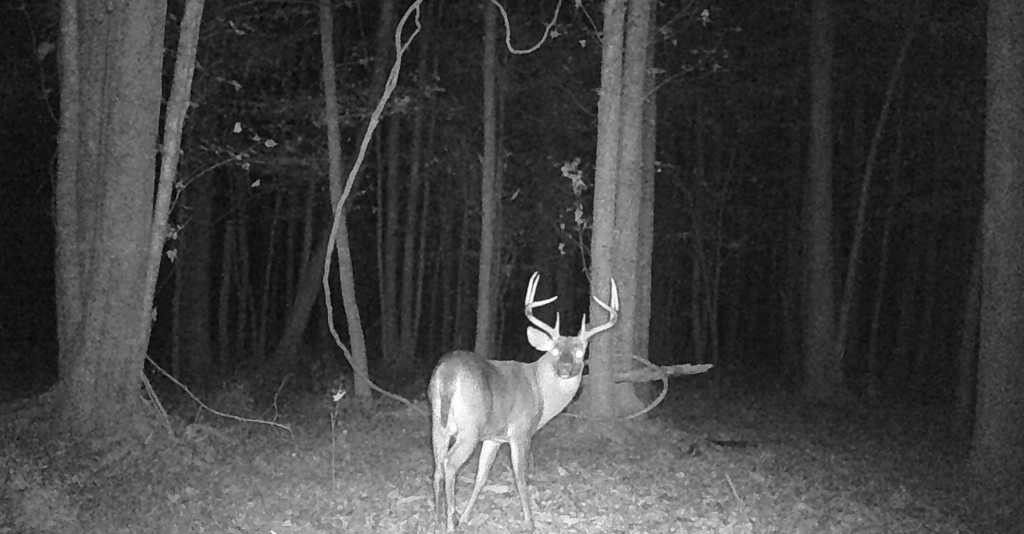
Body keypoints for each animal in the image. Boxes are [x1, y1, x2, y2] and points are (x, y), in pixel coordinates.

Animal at [428, 272, 619, 532]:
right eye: (554, 350)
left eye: (580, 351)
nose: (565, 368)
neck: (540, 391)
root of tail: (448, 374)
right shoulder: (521, 430)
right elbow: (520, 476)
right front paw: (530, 521)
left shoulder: (494, 437)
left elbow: (481, 476)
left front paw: (467, 516)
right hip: (469, 427)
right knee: (449, 464)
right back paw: (450, 522)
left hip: (438, 422)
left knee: (437, 467)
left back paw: (438, 519)